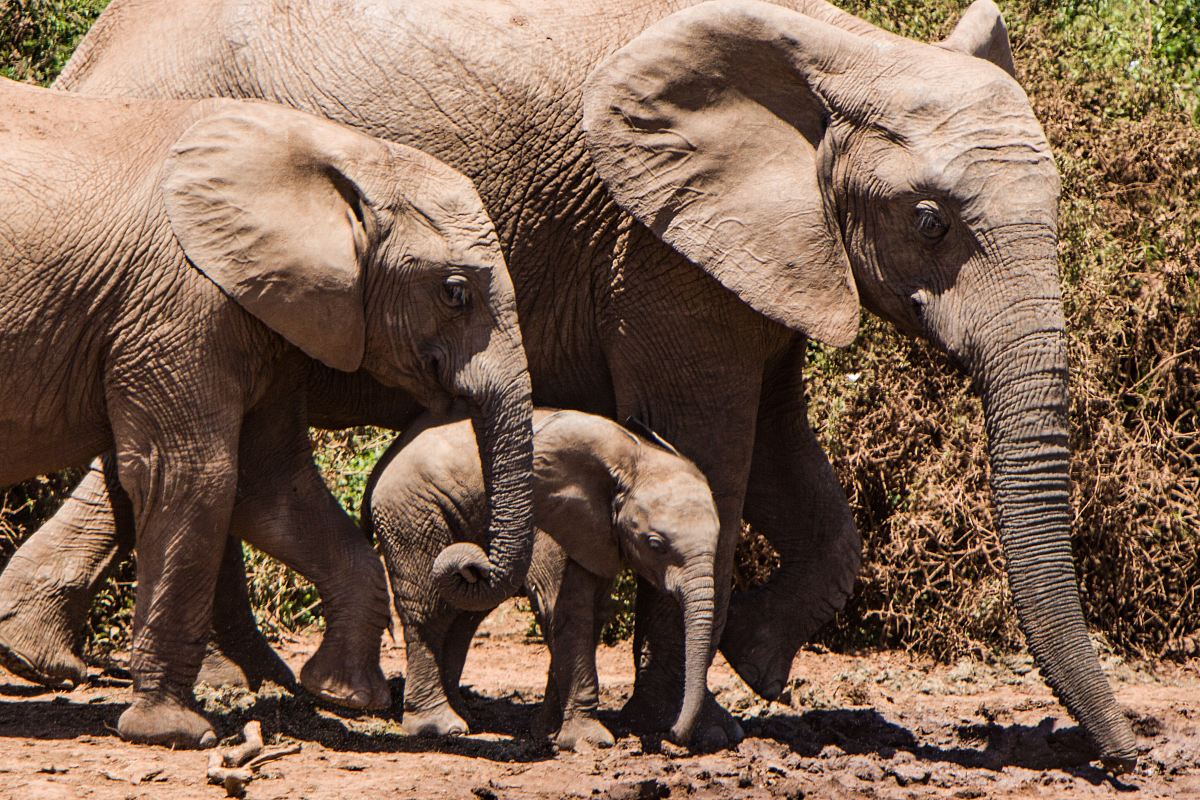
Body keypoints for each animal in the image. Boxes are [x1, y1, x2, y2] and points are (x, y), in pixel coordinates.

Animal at [0, 77, 535, 748]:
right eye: (455, 292)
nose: (467, 562)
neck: (342, 155)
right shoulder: (183, 301)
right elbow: (194, 475)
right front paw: (175, 732)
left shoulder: (266, 310)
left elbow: (273, 484)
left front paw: (343, 696)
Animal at [364, 410, 715, 753]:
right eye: (655, 544)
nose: (672, 739)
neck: (635, 460)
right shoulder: (550, 523)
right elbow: (567, 610)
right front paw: (589, 741)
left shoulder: (598, 533)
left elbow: (593, 613)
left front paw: (547, 732)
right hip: (412, 512)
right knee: (430, 610)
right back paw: (441, 727)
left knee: (462, 615)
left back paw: (463, 716)